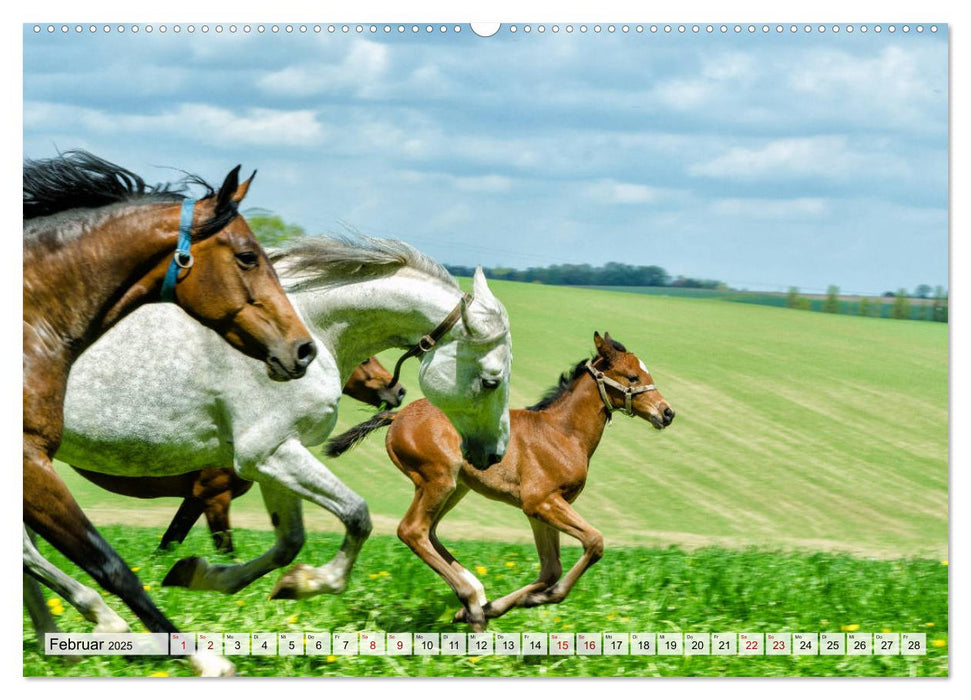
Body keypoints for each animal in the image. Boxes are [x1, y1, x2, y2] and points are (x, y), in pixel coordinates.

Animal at [23, 152, 316, 672]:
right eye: (248, 256)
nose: (302, 350)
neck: (27, 320)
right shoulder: (29, 460)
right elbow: (111, 565)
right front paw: (201, 658)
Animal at [70, 358, 406, 556]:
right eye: (365, 359)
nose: (400, 391)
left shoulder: (195, 500)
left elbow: (168, 543)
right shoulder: (214, 497)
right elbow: (225, 551)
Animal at [326, 330, 676, 632]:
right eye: (633, 377)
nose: (667, 412)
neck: (563, 432)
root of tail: (397, 415)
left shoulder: (539, 510)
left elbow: (551, 568)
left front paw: (504, 605)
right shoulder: (542, 502)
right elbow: (594, 542)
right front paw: (540, 598)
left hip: (455, 487)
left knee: (430, 531)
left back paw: (474, 602)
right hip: (438, 479)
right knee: (412, 530)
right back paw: (471, 601)